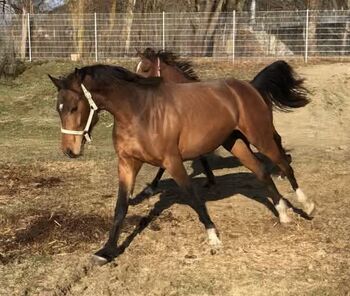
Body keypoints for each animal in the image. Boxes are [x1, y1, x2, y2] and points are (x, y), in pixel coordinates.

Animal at [48, 65, 314, 266]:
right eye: (58, 109)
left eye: (74, 107)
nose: (69, 151)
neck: (139, 112)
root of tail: (248, 87)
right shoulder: (127, 164)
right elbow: (121, 207)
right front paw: (106, 251)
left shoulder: (172, 161)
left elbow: (193, 196)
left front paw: (213, 238)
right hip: (235, 142)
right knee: (261, 172)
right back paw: (283, 214)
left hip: (261, 137)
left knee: (284, 165)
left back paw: (306, 206)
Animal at [135, 48, 308, 197]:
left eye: (145, 68)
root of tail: (253, 85)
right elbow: (201, 158)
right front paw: (210, 180)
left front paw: (151, 188)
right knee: (274, 141)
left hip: (260, 126)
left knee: (276, 140)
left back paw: (283, 171)